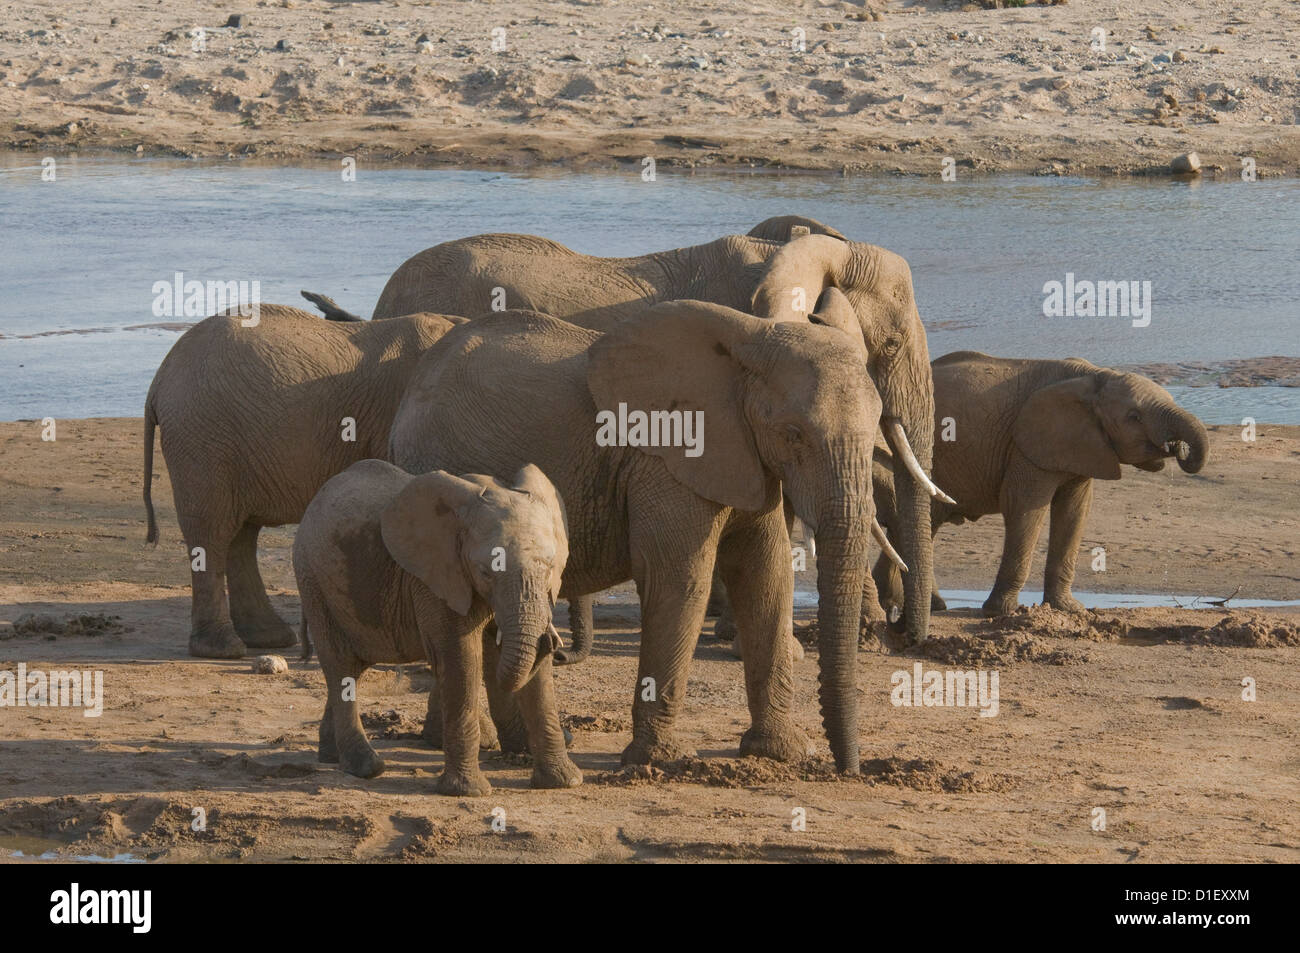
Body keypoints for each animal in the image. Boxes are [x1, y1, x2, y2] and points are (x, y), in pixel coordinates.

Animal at [143, 302, 462, 655]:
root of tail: (159, 379)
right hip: (202, 436)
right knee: (212, 531)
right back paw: (224, 648)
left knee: (241, 534)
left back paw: (270, 638)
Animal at [297, 460, 582, 795]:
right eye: (486, 571)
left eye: (550, 567)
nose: (553, 642)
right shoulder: (434, 578)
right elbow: (461, 658)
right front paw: (468, 791)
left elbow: (534, 675)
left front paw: (564, 782)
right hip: (313, 582)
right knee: (341, 665)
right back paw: (365, 767)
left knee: (352, 669)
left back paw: (331, 757)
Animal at [387, 297, 883, 774]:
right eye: (794, 433)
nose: (849, 770)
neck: (749, 338)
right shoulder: (665, 461)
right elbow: (680, 581)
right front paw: (658, 760)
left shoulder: (746, 455)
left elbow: (766, 574)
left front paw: (781, 753)